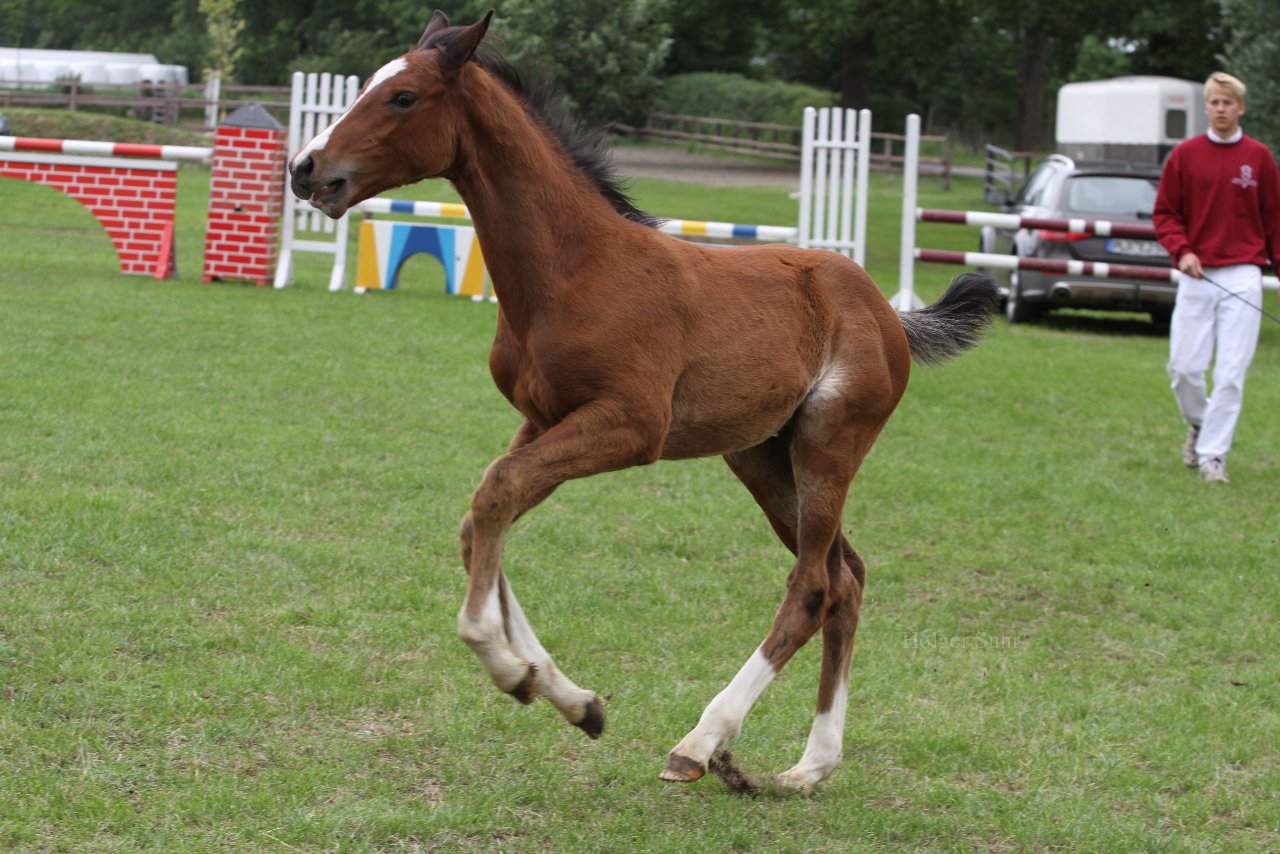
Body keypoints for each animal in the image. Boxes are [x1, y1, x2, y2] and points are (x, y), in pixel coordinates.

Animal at [290, 10, 998, 793]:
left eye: (404, 97)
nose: (306, 169)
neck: (573, 269)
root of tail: (885, 309)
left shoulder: (631, 426)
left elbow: (495, 496)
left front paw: (509, 669)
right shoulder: (542, 419)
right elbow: (483, 517)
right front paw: (571, 699)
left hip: (827, 444)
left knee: (814, 584)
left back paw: (703, 742)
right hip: (761, 456)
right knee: (849, 577)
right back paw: (808, 766)